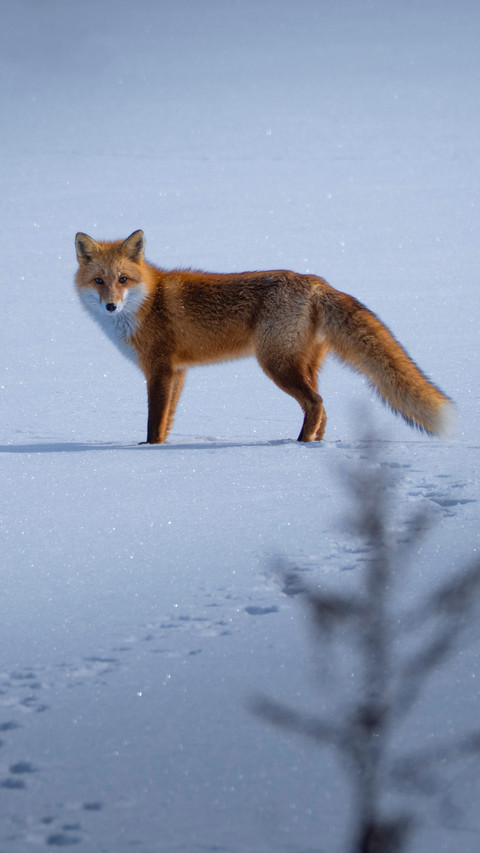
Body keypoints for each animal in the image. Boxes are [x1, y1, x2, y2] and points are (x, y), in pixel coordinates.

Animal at [74, 229, 453, 444]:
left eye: (123, 280)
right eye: (99, 281)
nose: (110, 306)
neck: (148, 301)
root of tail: (317, 282)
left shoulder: (160, 369)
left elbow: (154, 421)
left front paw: (150, 450)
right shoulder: (178, 372)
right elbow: (167, 420)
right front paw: (162, 447)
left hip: (276, 363)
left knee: (315, 403)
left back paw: (298, 444)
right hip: (304, 364)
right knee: (322, 406)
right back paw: (315, 443)